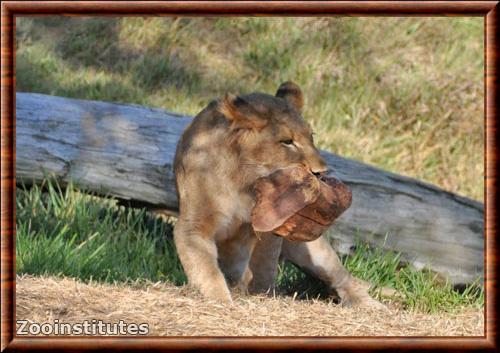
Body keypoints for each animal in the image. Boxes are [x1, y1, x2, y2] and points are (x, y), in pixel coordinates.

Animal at [174, 81, 384, 306]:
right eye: (287, 141)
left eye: (311, 136)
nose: (322, 172)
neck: (244, 182)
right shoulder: (193, 226)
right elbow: (208, 271)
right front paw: (222, 300)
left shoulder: (269, 227)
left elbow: (264, 266)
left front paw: (260, 294)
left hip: (314, 250)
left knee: (343, 278)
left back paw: (370, 305)